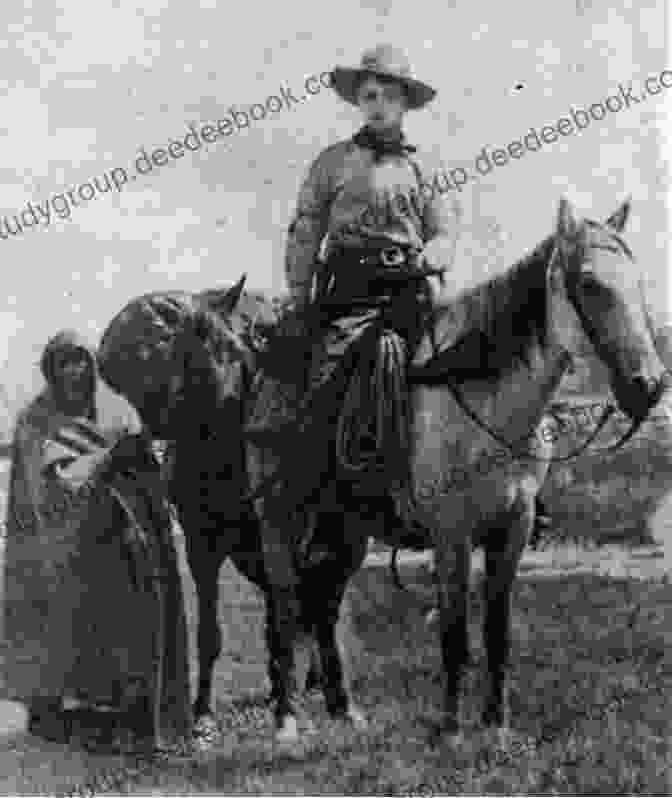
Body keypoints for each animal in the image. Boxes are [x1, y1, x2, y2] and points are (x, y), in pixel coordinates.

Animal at [98, 197, 668, 748]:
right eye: (590, 283)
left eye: (638, 282)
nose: (649, 385)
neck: (480, 401)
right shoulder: (451, 534)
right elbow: (455, 633)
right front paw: (449, 728)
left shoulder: (513, 529)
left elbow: (497, 632)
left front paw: (497, 724)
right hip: (245, 532)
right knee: (269, 613)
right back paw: (257, 718)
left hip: (339, 539)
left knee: (319, 613)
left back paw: (342, 708)